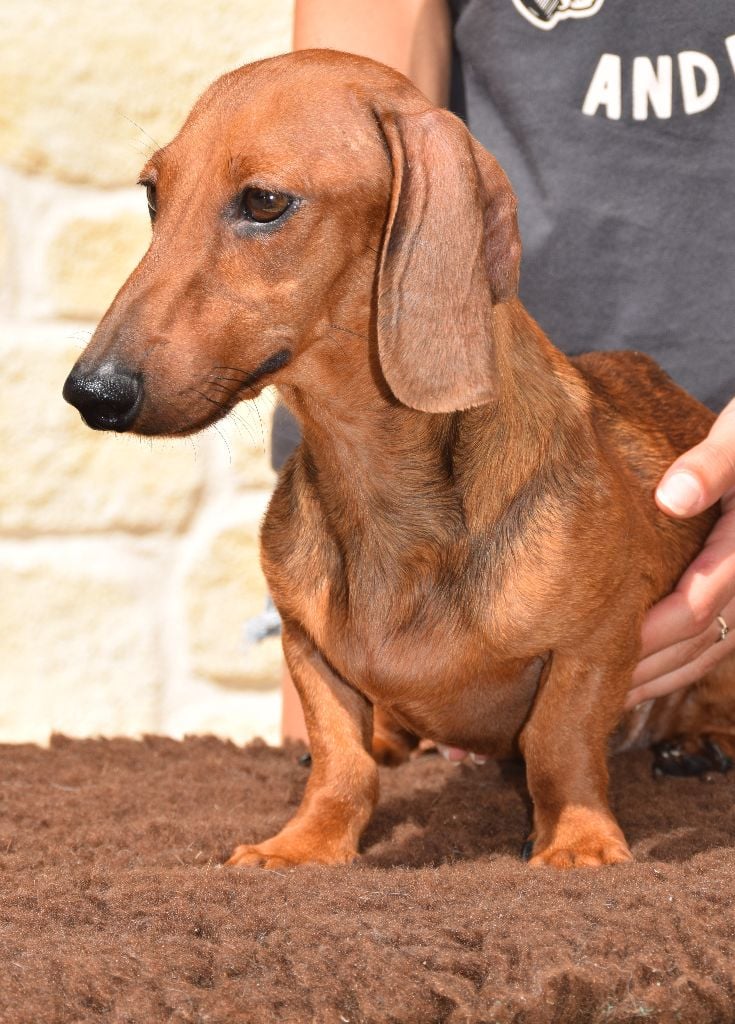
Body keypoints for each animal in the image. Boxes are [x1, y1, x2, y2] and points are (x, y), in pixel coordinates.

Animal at [63, 48, 735, 864]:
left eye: (263, 202)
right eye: (153, 196)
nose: (90, 392)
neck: (370, 478)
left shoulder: (594, 643)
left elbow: (558, 743)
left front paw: (576, 838)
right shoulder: (308, 650)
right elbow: (340, 761)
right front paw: (304, 844)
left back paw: (700, 740)